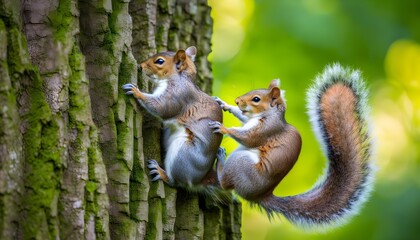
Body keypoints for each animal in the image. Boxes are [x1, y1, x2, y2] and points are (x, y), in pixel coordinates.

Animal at [123, 47, 225, 188]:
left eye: (160, 61)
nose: (140, 66)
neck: (179, 78)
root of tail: (199, 180)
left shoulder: (178, 95)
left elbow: (161, 107)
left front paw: (137, 92)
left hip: (183, 155)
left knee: (176, 182)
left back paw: (162, 173)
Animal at [210, 63, 374, 229]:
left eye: (256, 99)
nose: (237, 100)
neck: (269, 114)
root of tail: (260, 195)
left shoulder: (267, 129)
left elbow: (248, 138)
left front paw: (223, 128)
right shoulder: (249, 121)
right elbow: (242, 117)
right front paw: (225, 104)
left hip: (241, 163)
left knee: (225, 183)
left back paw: (221, 160)